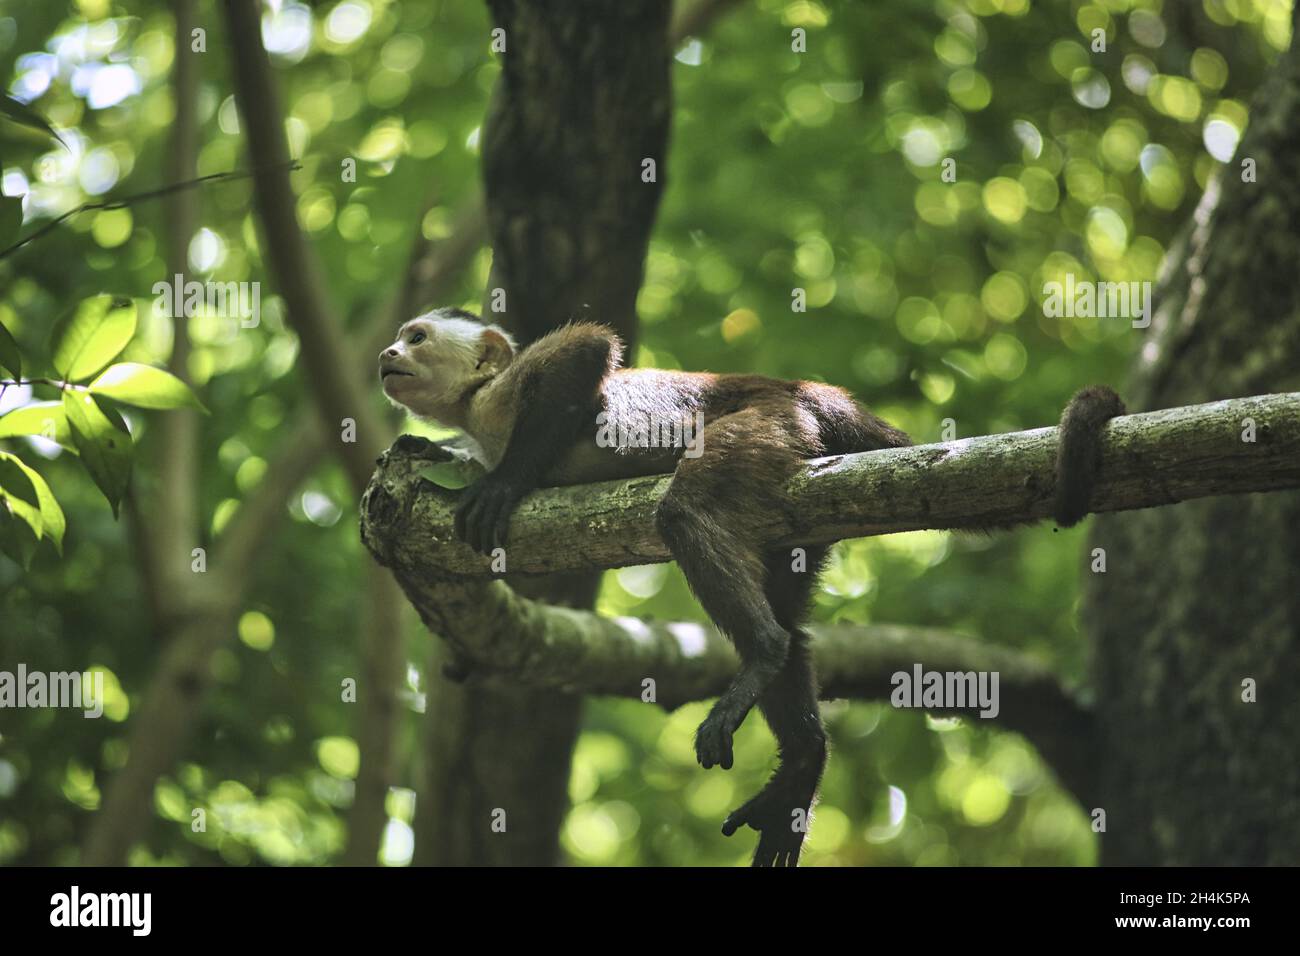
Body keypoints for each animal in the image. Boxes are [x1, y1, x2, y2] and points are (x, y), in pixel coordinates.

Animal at [379, 304, 1128, 868]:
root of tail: (815, 394)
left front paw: (506, 481)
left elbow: (586, 351)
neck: (478, 415)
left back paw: (762, 653)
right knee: (792, 622)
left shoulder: (505, 394)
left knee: (689, 514)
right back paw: (802, 759)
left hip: (776, 423)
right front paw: (424, 450)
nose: (387, 351)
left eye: (417, 337)